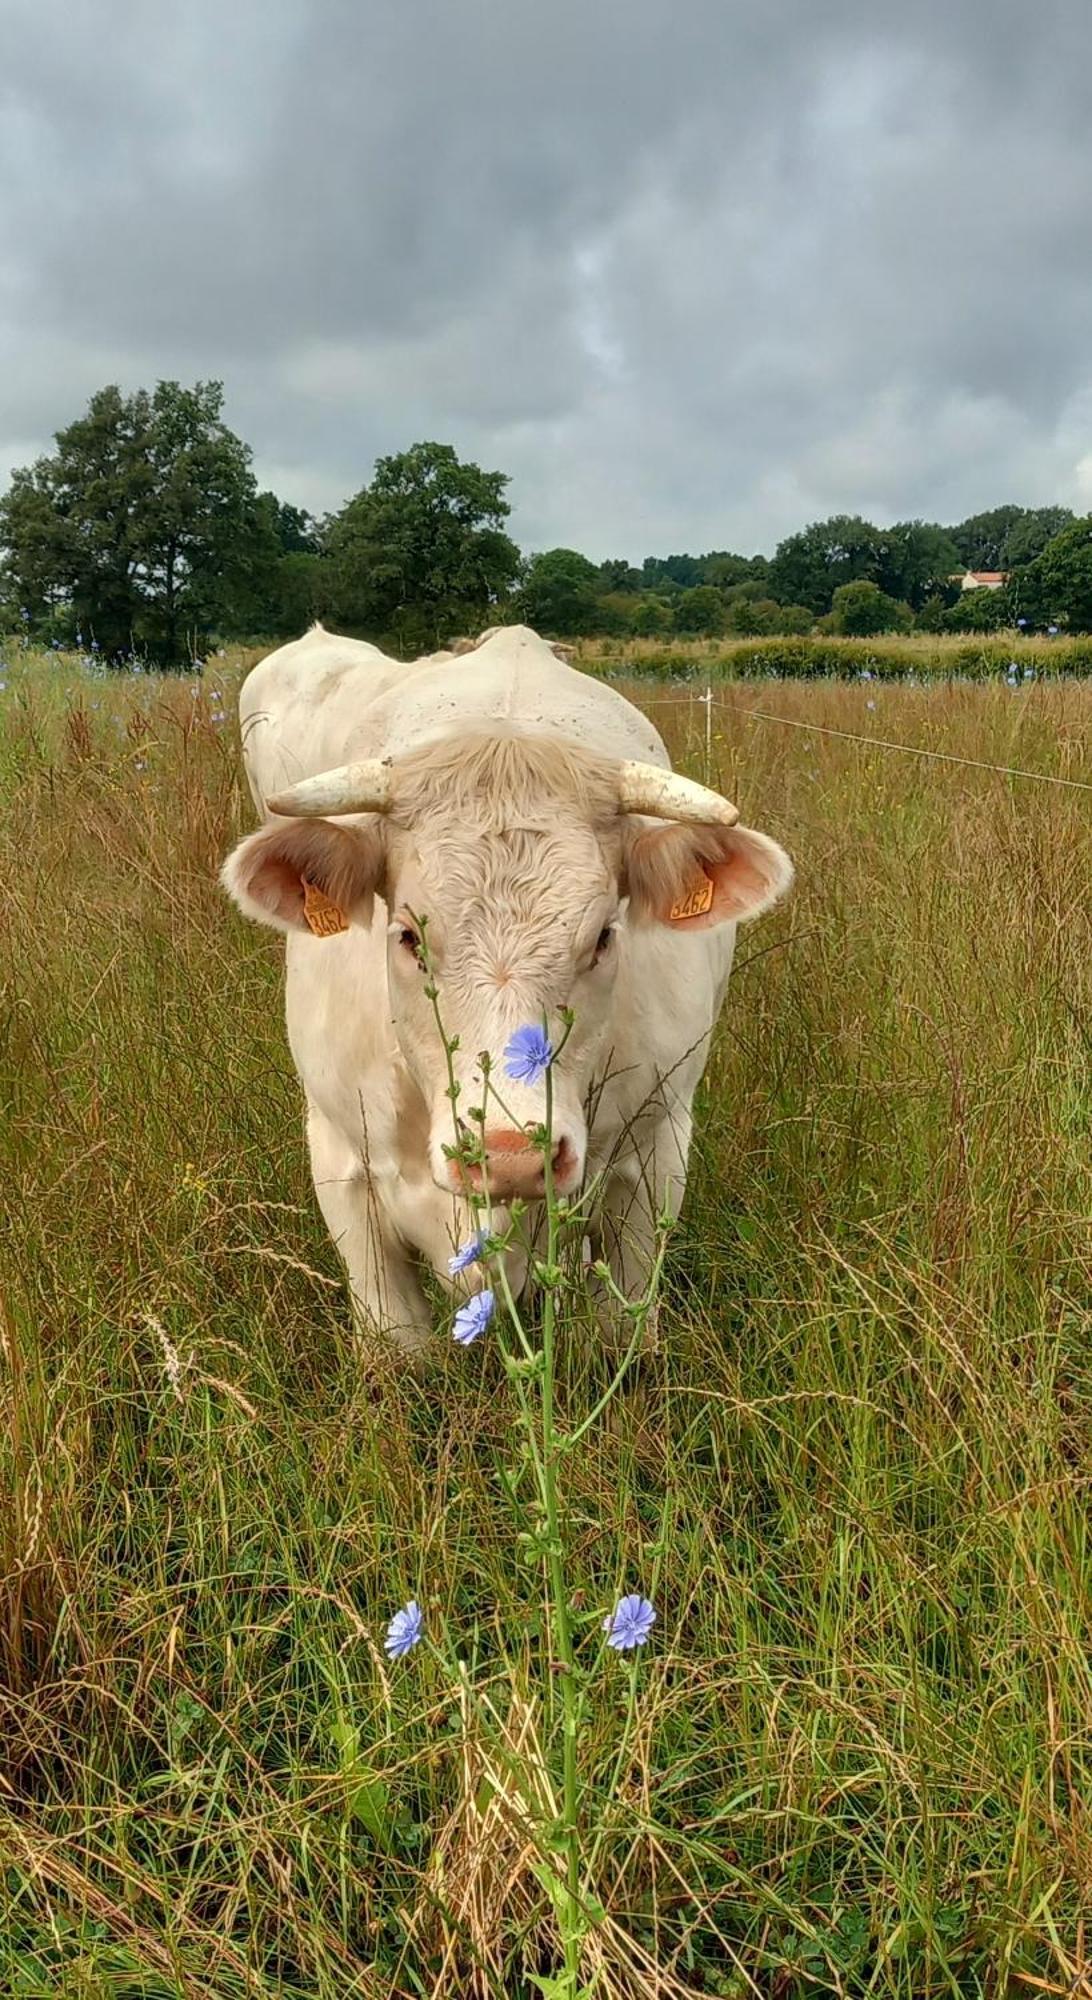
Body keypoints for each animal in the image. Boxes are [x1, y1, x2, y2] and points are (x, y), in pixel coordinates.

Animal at [221, 616, 788, 1352]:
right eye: (406, 936)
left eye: (604, 936)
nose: (511, 1155)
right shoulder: (341, 1159)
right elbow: (400, 1347)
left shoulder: (655, 1152)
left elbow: (623, 1330)